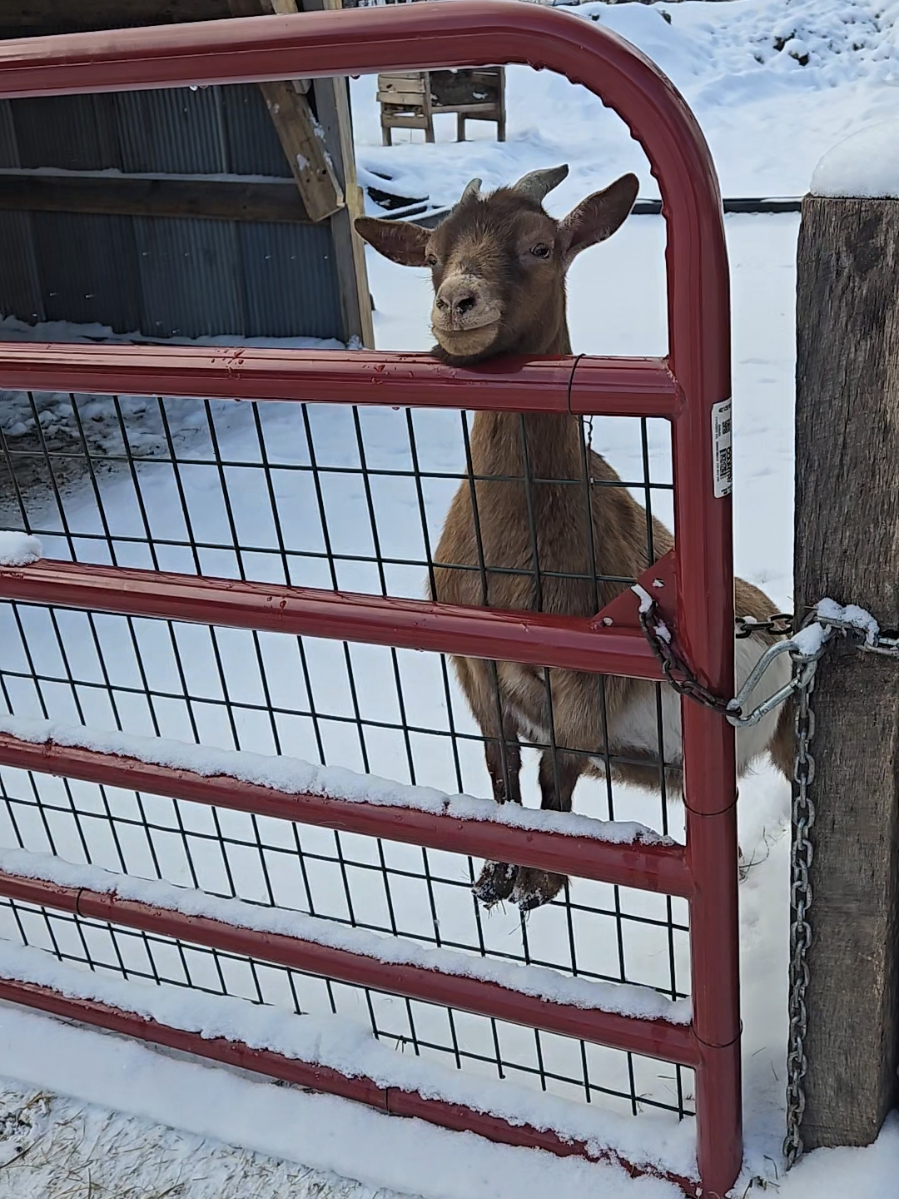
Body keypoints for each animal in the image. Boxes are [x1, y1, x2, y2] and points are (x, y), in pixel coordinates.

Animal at [355, 166, 793, 912]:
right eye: (432, 254)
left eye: (540, 247)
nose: (456, 303)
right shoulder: (474, 670)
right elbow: (501, 771)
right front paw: (494, 875)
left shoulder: (582, 690)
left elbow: (552, 785)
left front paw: (541, 881)